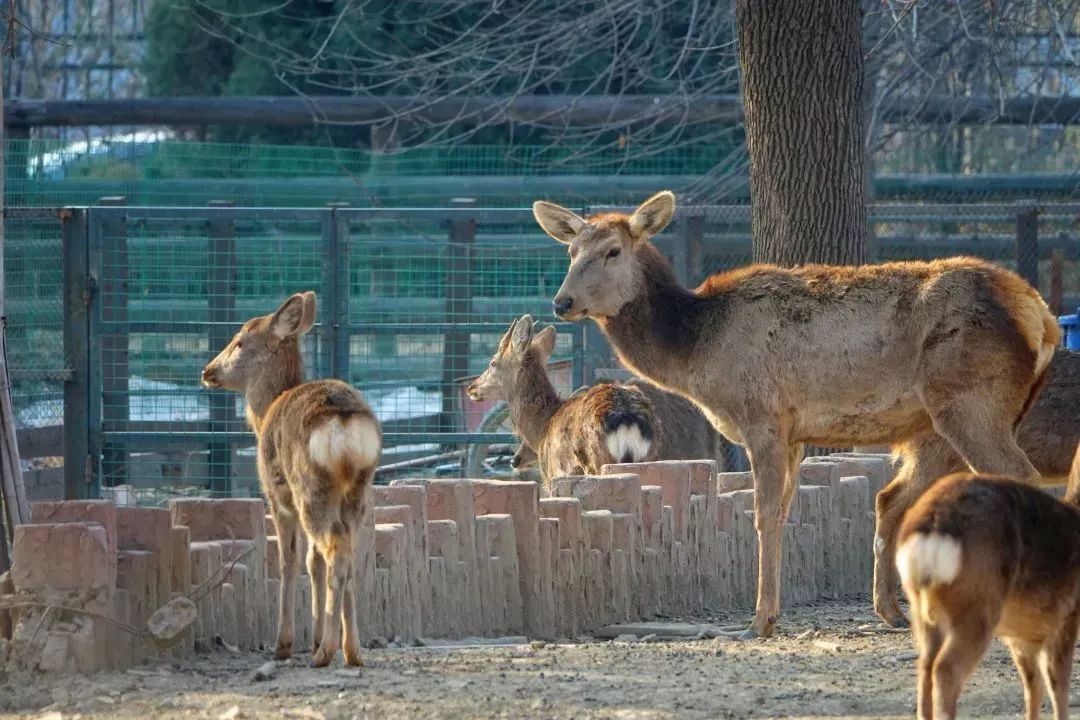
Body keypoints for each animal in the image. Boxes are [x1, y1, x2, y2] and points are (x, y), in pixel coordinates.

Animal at [200, 289, 382, 669]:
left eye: (239, 342)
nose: (208, 370)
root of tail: (344, 424)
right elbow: (313, 563)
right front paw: (312, 637)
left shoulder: (276, 498)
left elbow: (289, 561)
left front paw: (284, 644)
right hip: (359, 490)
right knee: (348, 554)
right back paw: (353, 650)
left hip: (308, 486)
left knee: (336, 551)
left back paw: (326, 652)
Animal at [535, 189, 1058, 634]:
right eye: (571, 252)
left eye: (613, 251)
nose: (562, 302)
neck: (697, 350)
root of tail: (1040, 314)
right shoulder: (794, 433)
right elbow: (785, 511)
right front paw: (772, 611)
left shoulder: (762, 417)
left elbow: (763, 513)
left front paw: (759, 620)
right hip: (934, 427)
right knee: (894, 499)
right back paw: (892, 611)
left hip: (973, 402)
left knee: (1021, 477)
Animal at [894, 459, 1080, 716]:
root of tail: (931, 529)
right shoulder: (1067, 614)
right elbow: (1057, 684)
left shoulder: (1023, 636)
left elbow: (1033, 687)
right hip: (976, 606)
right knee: (945, 668)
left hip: (922, 613)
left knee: (925, 665)